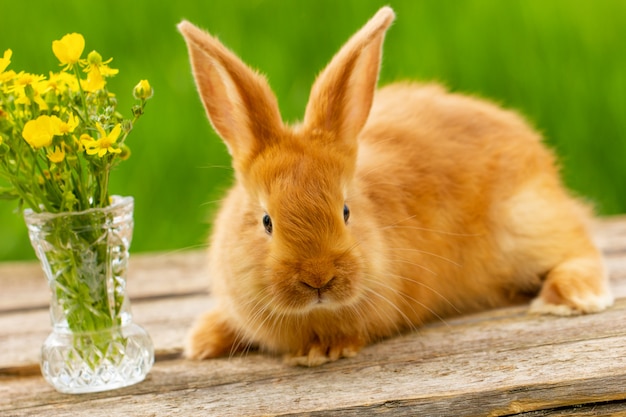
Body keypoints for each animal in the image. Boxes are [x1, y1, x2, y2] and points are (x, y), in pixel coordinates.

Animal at [178, 5, 612, 364]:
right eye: (266, 222)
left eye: (346, 212)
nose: (319, 279)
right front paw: (202, 341)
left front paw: (322, 352)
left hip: (525, 222)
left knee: (578, 247)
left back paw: (571, 297)